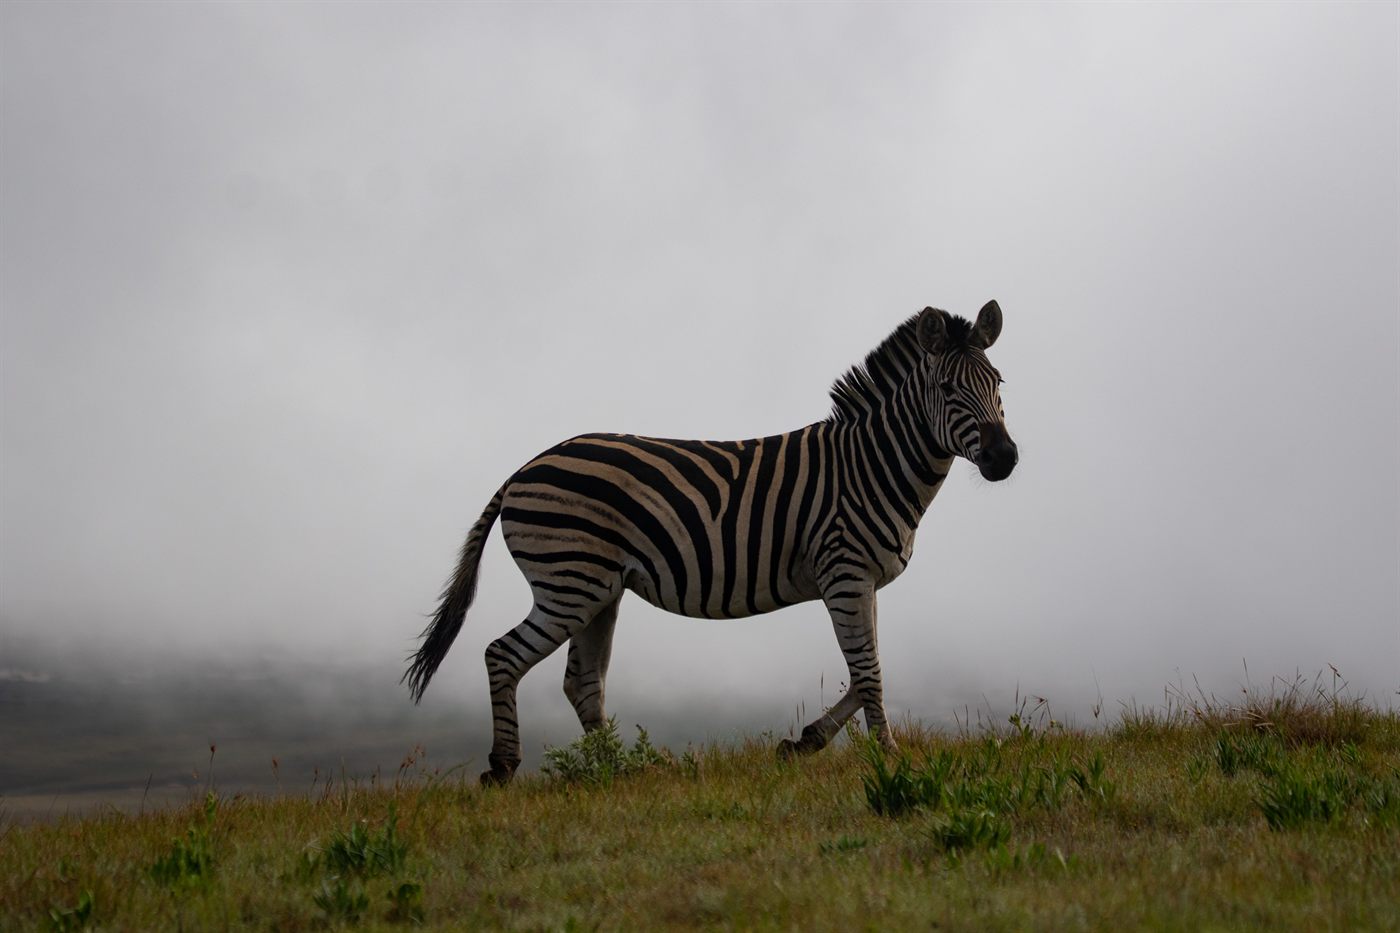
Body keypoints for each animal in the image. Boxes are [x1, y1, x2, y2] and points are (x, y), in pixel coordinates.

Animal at [404, 302, 1018, 785]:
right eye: (947, 389)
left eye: (999, 383)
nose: (1004, 458)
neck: (871, 465)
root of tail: (524, 467)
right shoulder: (844, 573)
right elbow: (869, 672)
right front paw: (890, 756)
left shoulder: (861, 581)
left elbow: (867, 668)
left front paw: (806, 741)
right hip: (569, 583)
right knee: (502, 654)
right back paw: (505, 766)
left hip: (599, 590)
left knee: (581, 681)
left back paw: (622, 770)